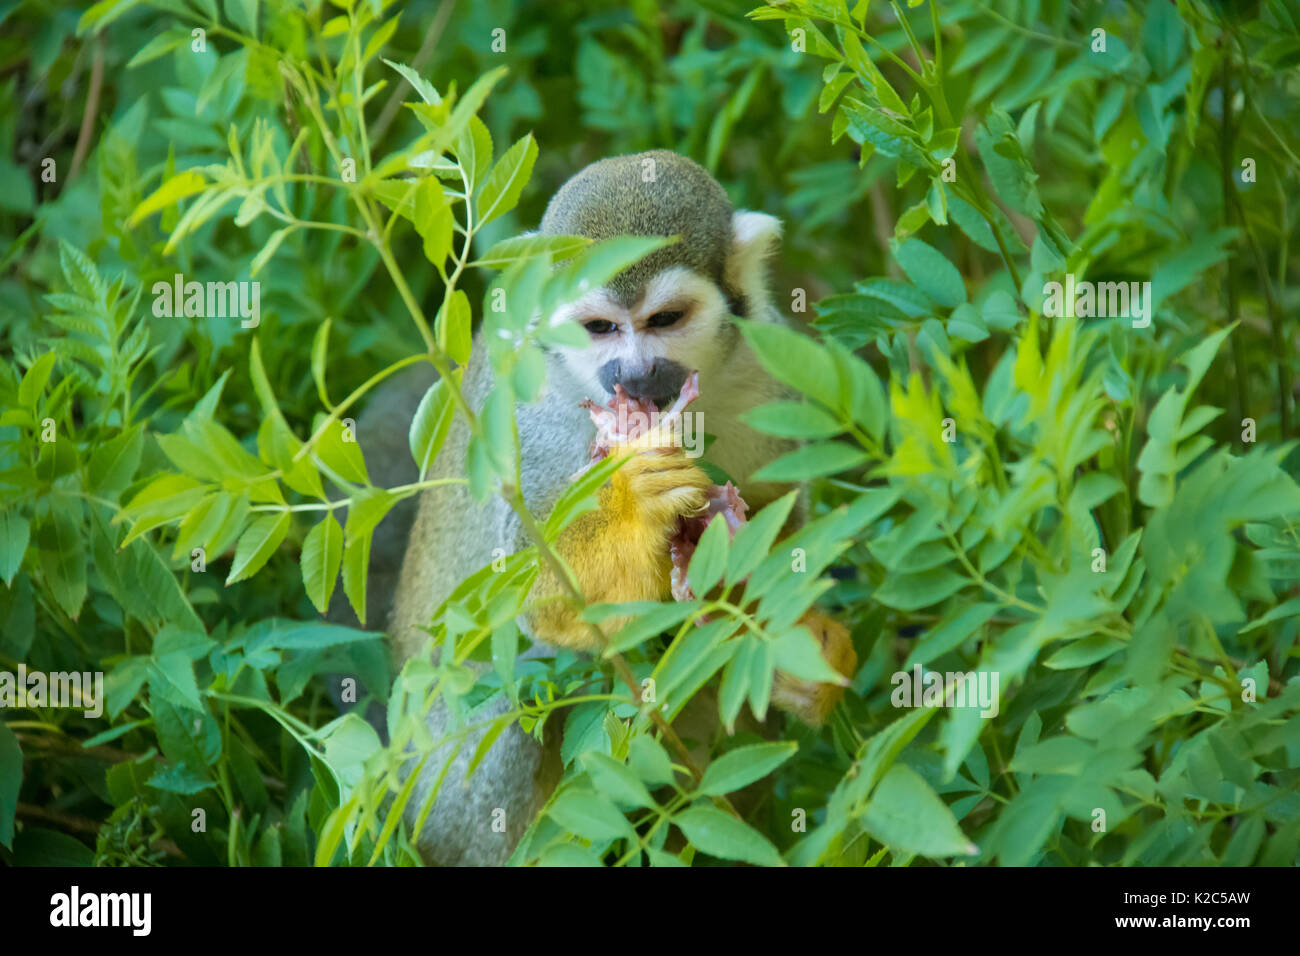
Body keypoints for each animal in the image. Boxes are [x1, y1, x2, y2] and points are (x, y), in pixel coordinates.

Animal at [338, 151, 852, 868]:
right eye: (601, 329)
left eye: (665, 320)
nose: (633, 376)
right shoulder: (532, 418)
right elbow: (538, 601)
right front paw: (635, 505)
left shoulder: (764, 368)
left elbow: (770, 526)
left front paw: (797, 649)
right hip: (442, 798)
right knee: (521, 682)